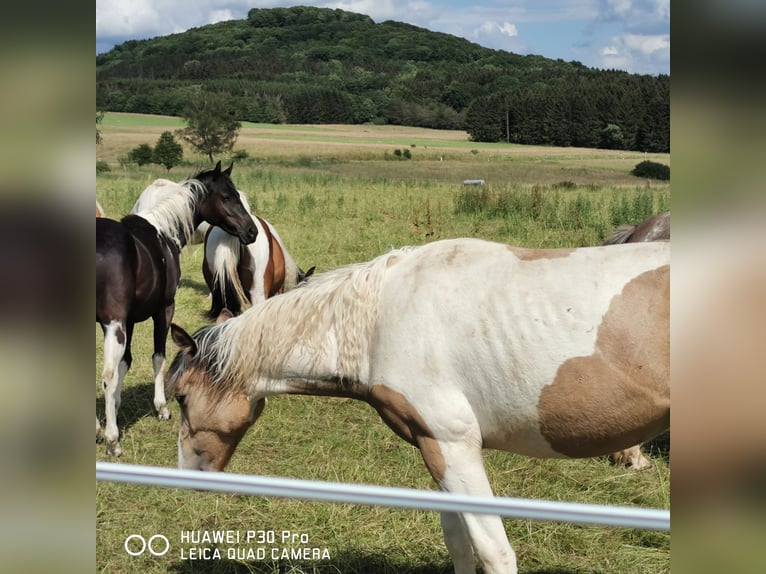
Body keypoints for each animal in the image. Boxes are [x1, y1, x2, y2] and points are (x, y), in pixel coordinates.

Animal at [95, 162, 258, 460]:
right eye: (227, 196)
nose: (252, 231)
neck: (163, 231)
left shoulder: (130, 320)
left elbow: (126, 362)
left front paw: (116, 405)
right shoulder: (162, 310)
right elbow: (157, 357)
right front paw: (161, 408)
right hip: (114, 325)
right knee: (107, 375)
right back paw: (112, 440)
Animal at [170, 237, 672, 574]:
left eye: (180, 396)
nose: (187, 476)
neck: (381, 321)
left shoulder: (454, 447)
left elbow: (493, 551)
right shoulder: (435, 450)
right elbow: (459, 542)